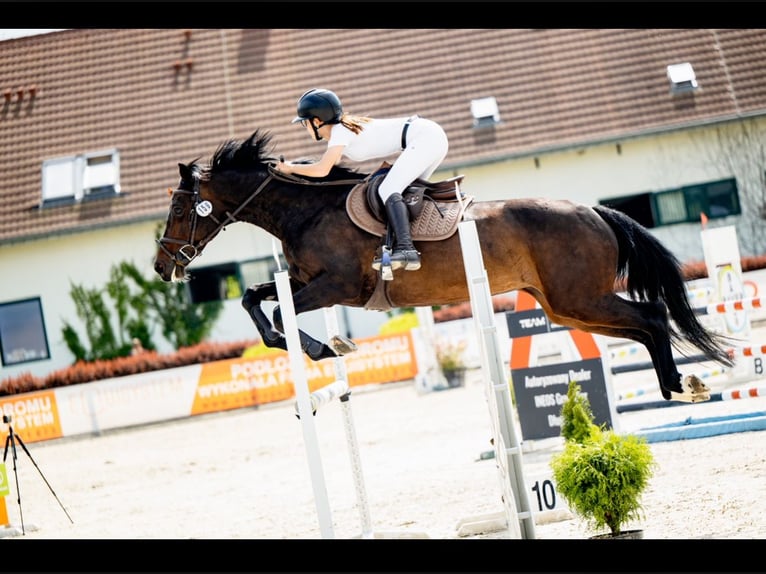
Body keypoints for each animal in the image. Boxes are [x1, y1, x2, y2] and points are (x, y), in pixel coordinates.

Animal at [154, 129, 734, 403]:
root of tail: (593, 210)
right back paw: (679, 384)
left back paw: (680, 385)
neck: (307, 210)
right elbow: (255, 298)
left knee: (652, 317)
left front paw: (325, 347)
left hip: (580, 297)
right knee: (640, 329)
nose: (162, 267)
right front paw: (320, 346)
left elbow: (273, 309)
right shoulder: (302, 280)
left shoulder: (336, 284)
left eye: (180, 208)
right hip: (568, 308)